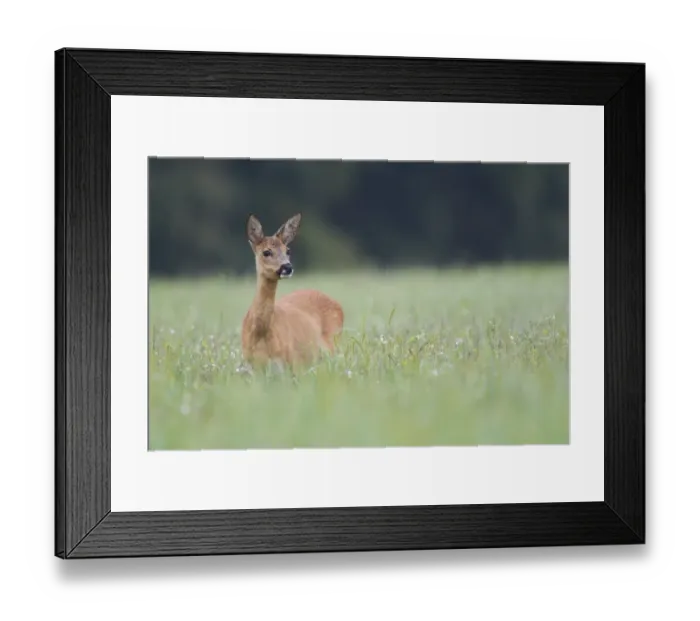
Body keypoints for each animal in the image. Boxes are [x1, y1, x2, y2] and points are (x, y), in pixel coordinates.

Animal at [241, 213, 344, 369]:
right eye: (266, 252)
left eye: (287, 250)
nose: (287, 267)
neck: (260, 333)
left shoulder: (289, 363)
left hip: (332, 345)